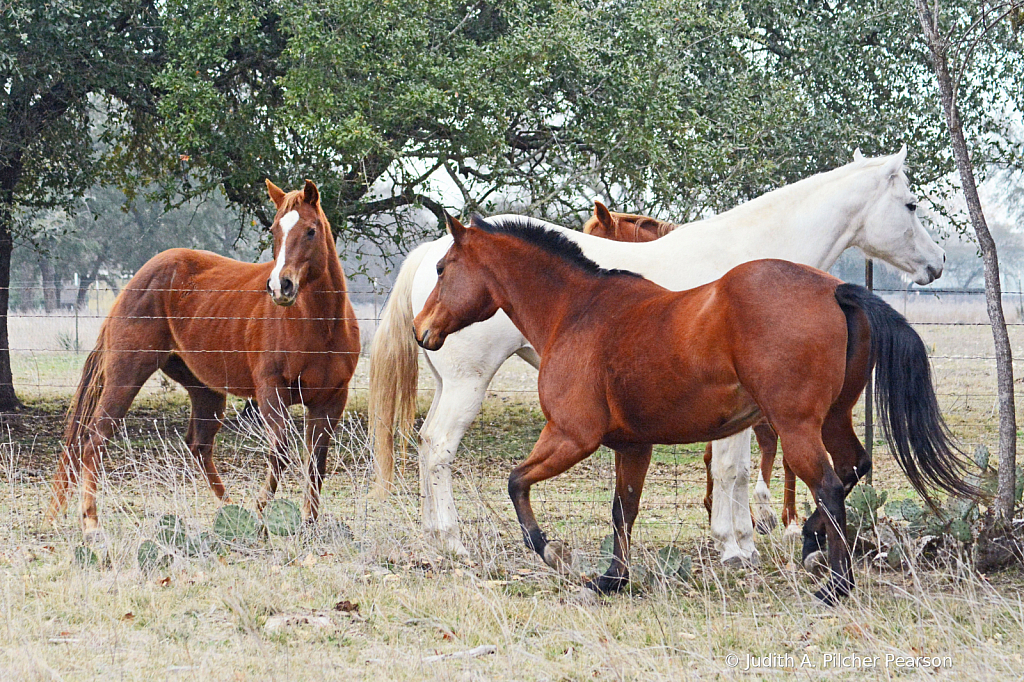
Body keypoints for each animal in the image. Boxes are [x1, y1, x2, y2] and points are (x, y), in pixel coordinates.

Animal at [46, 179, 362, 536]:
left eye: (310, 231)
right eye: (274, 230)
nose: (280, 286)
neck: (321, 326)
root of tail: (136, 281)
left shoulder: (330, 400)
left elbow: (317, 462)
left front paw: (308, 521)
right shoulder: (272, 392)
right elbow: (280, 454)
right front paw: (261, 513)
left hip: (204, 390)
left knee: (198, 446)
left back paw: (229, 509)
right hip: (125, 377)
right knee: (94, 440)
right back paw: (91, 522)